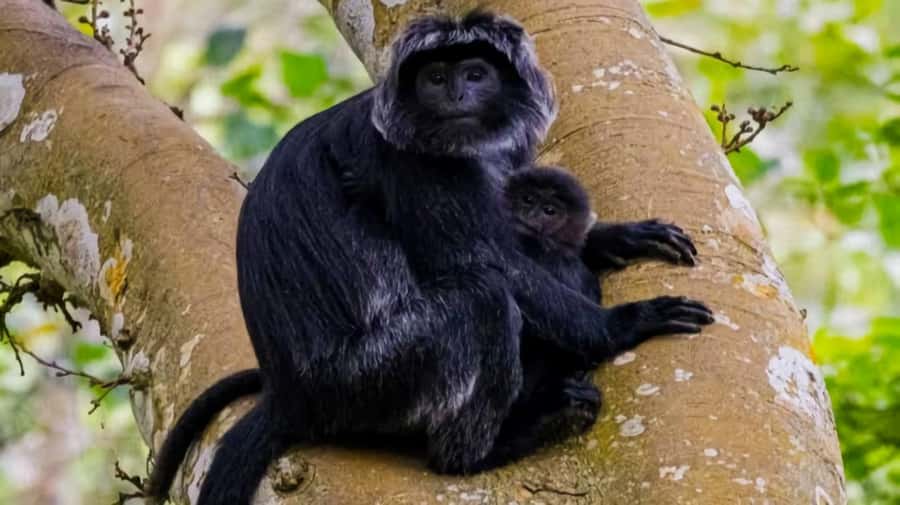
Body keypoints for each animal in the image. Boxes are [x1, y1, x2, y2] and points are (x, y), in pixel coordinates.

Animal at [146, 12, 713, 504]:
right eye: (436, 78)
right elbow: (485, 263)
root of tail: (291, 394)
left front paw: (618, 236)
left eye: (476, 74)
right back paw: (486, 449)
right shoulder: (412, 159)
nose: (456, 95)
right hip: (368, 380)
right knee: (483, 300)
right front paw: (626, 321)